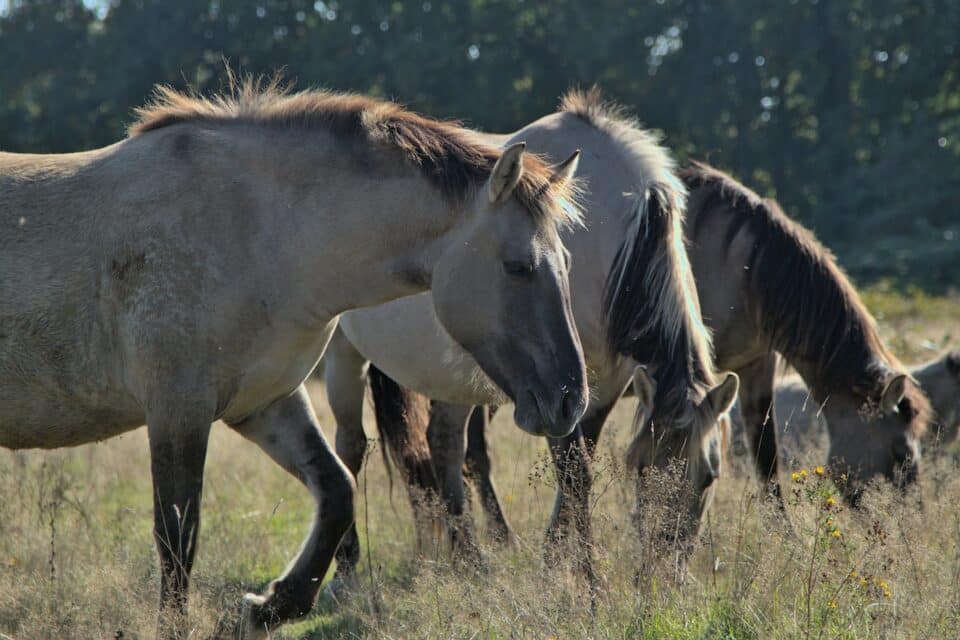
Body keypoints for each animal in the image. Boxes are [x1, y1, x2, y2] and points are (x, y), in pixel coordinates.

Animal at [0, 79, 584, 636]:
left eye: (567, 260)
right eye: (517, 266)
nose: (569, 400)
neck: (255, 232)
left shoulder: (265, 403)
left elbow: (337, 491)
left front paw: (269, 607)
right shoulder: (177, 412)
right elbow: (177, 538)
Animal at [322, 89, 736, 592]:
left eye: (709, 478)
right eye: (641, 467)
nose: (661, 572)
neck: (621, 240)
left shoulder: (597, 386)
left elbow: (576, 469)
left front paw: (552, 560)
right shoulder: (560, 383)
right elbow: (575, 474)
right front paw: (584, 577)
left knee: (445, 444)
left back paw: (469, 558)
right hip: (343, 355)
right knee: (350, 446)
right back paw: (348, 563)